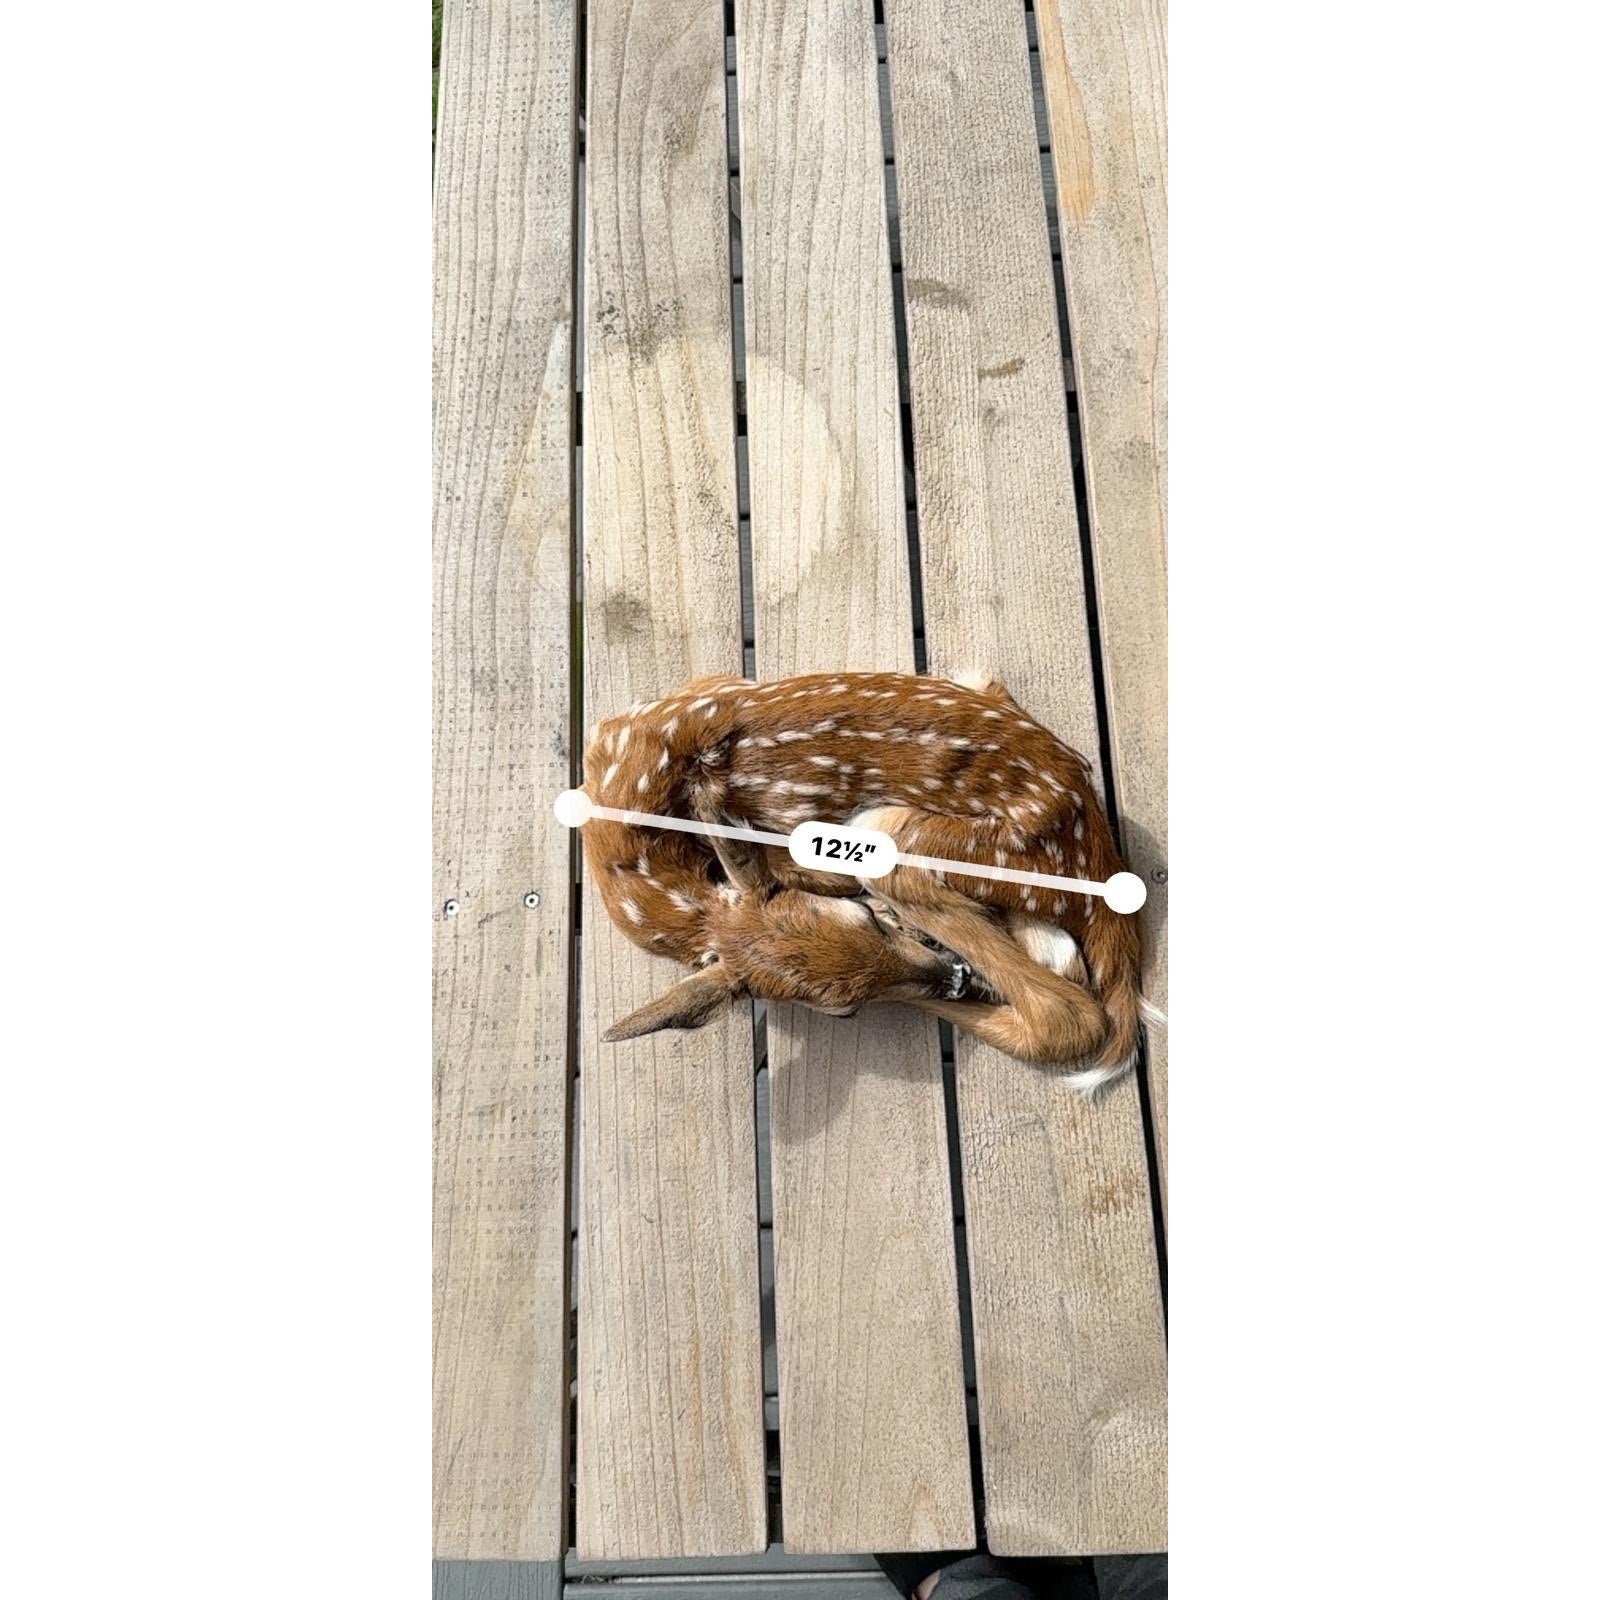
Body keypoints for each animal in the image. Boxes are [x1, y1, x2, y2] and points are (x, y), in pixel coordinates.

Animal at [579, 670, 1156, 1091]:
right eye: (841, 1013)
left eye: (866, 918)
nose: (954, 978)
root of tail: (1095, 845)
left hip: (890, 834)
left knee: (1067, 1010)